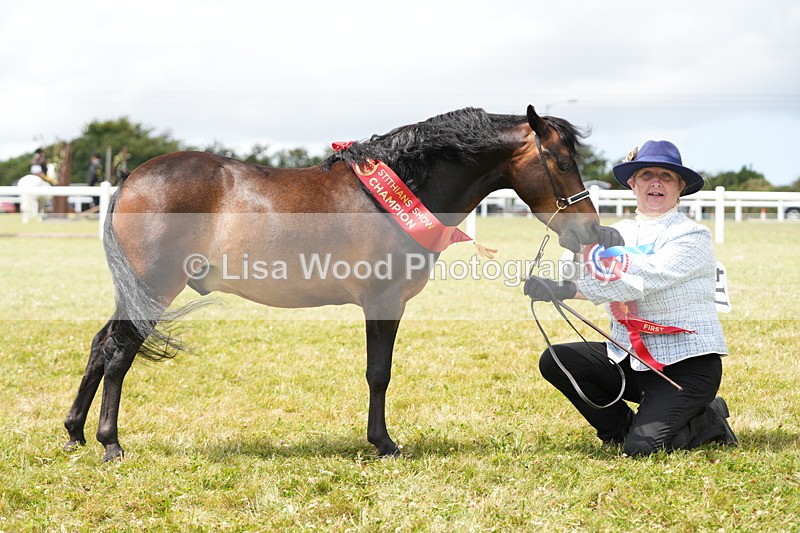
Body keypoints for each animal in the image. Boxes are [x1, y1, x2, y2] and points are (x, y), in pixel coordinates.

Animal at [63, 105, 623, 461]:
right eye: (563, 163)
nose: (592, 232)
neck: (399, 190)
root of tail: (132, 179)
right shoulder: (384, 300)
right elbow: (379, 373)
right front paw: (384, 444)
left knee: (100, 345)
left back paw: (74, 433)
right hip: (155, 287)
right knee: (119, 352)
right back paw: (110, 443)